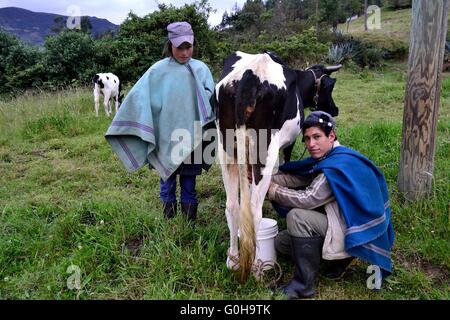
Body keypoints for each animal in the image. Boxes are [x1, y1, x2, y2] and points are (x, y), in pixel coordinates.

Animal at [214, 50, 342, 282]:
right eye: (329, 87)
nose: (334, 109)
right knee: (254, 209)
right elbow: (286, 163)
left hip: (226, 150)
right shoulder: (289, 143)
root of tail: (251, 74)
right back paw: (256, 268)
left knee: (233, 205)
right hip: (265, 151)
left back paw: (233, 260)